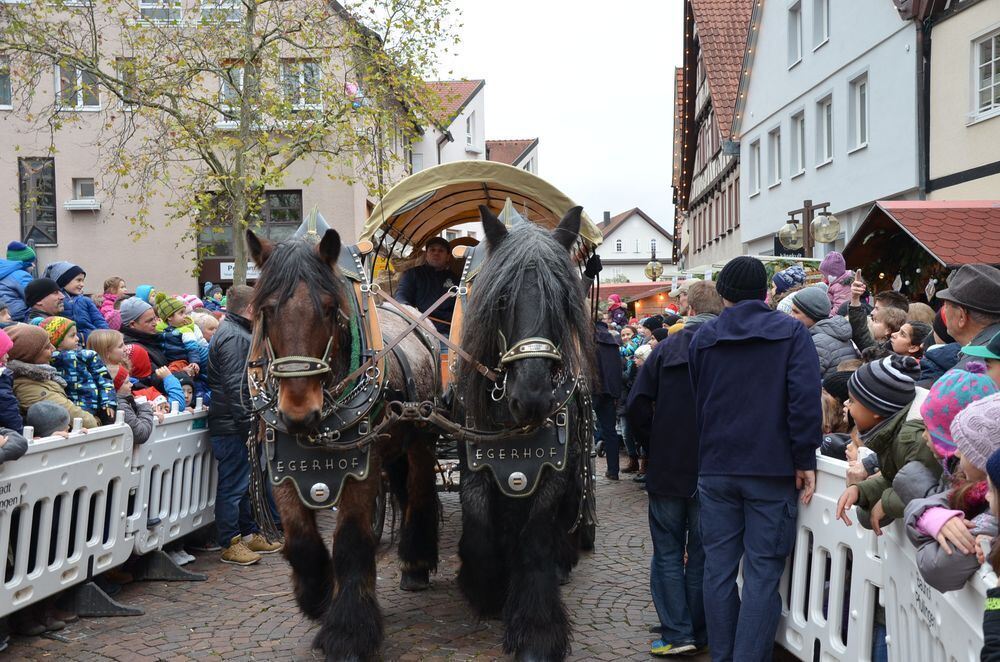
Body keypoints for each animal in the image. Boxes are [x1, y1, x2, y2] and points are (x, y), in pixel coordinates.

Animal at [245, 230, 438, 662]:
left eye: (331, 309)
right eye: (266, 309)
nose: (299, 412)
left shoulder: (361, 469)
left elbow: (350, 541)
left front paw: (348, 632)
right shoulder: (282, 470)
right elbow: (300, 539)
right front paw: (317, 595)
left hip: (420, 438)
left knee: (419, 493)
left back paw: (416, 563)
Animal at [458, 205, 596, 660]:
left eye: (564, 302)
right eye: (501, 299)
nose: (532, 399)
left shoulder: (553, 469)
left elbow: (535, 538)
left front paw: (537, 630)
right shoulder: (476, 466)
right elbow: (479, 527)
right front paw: (484, 585)